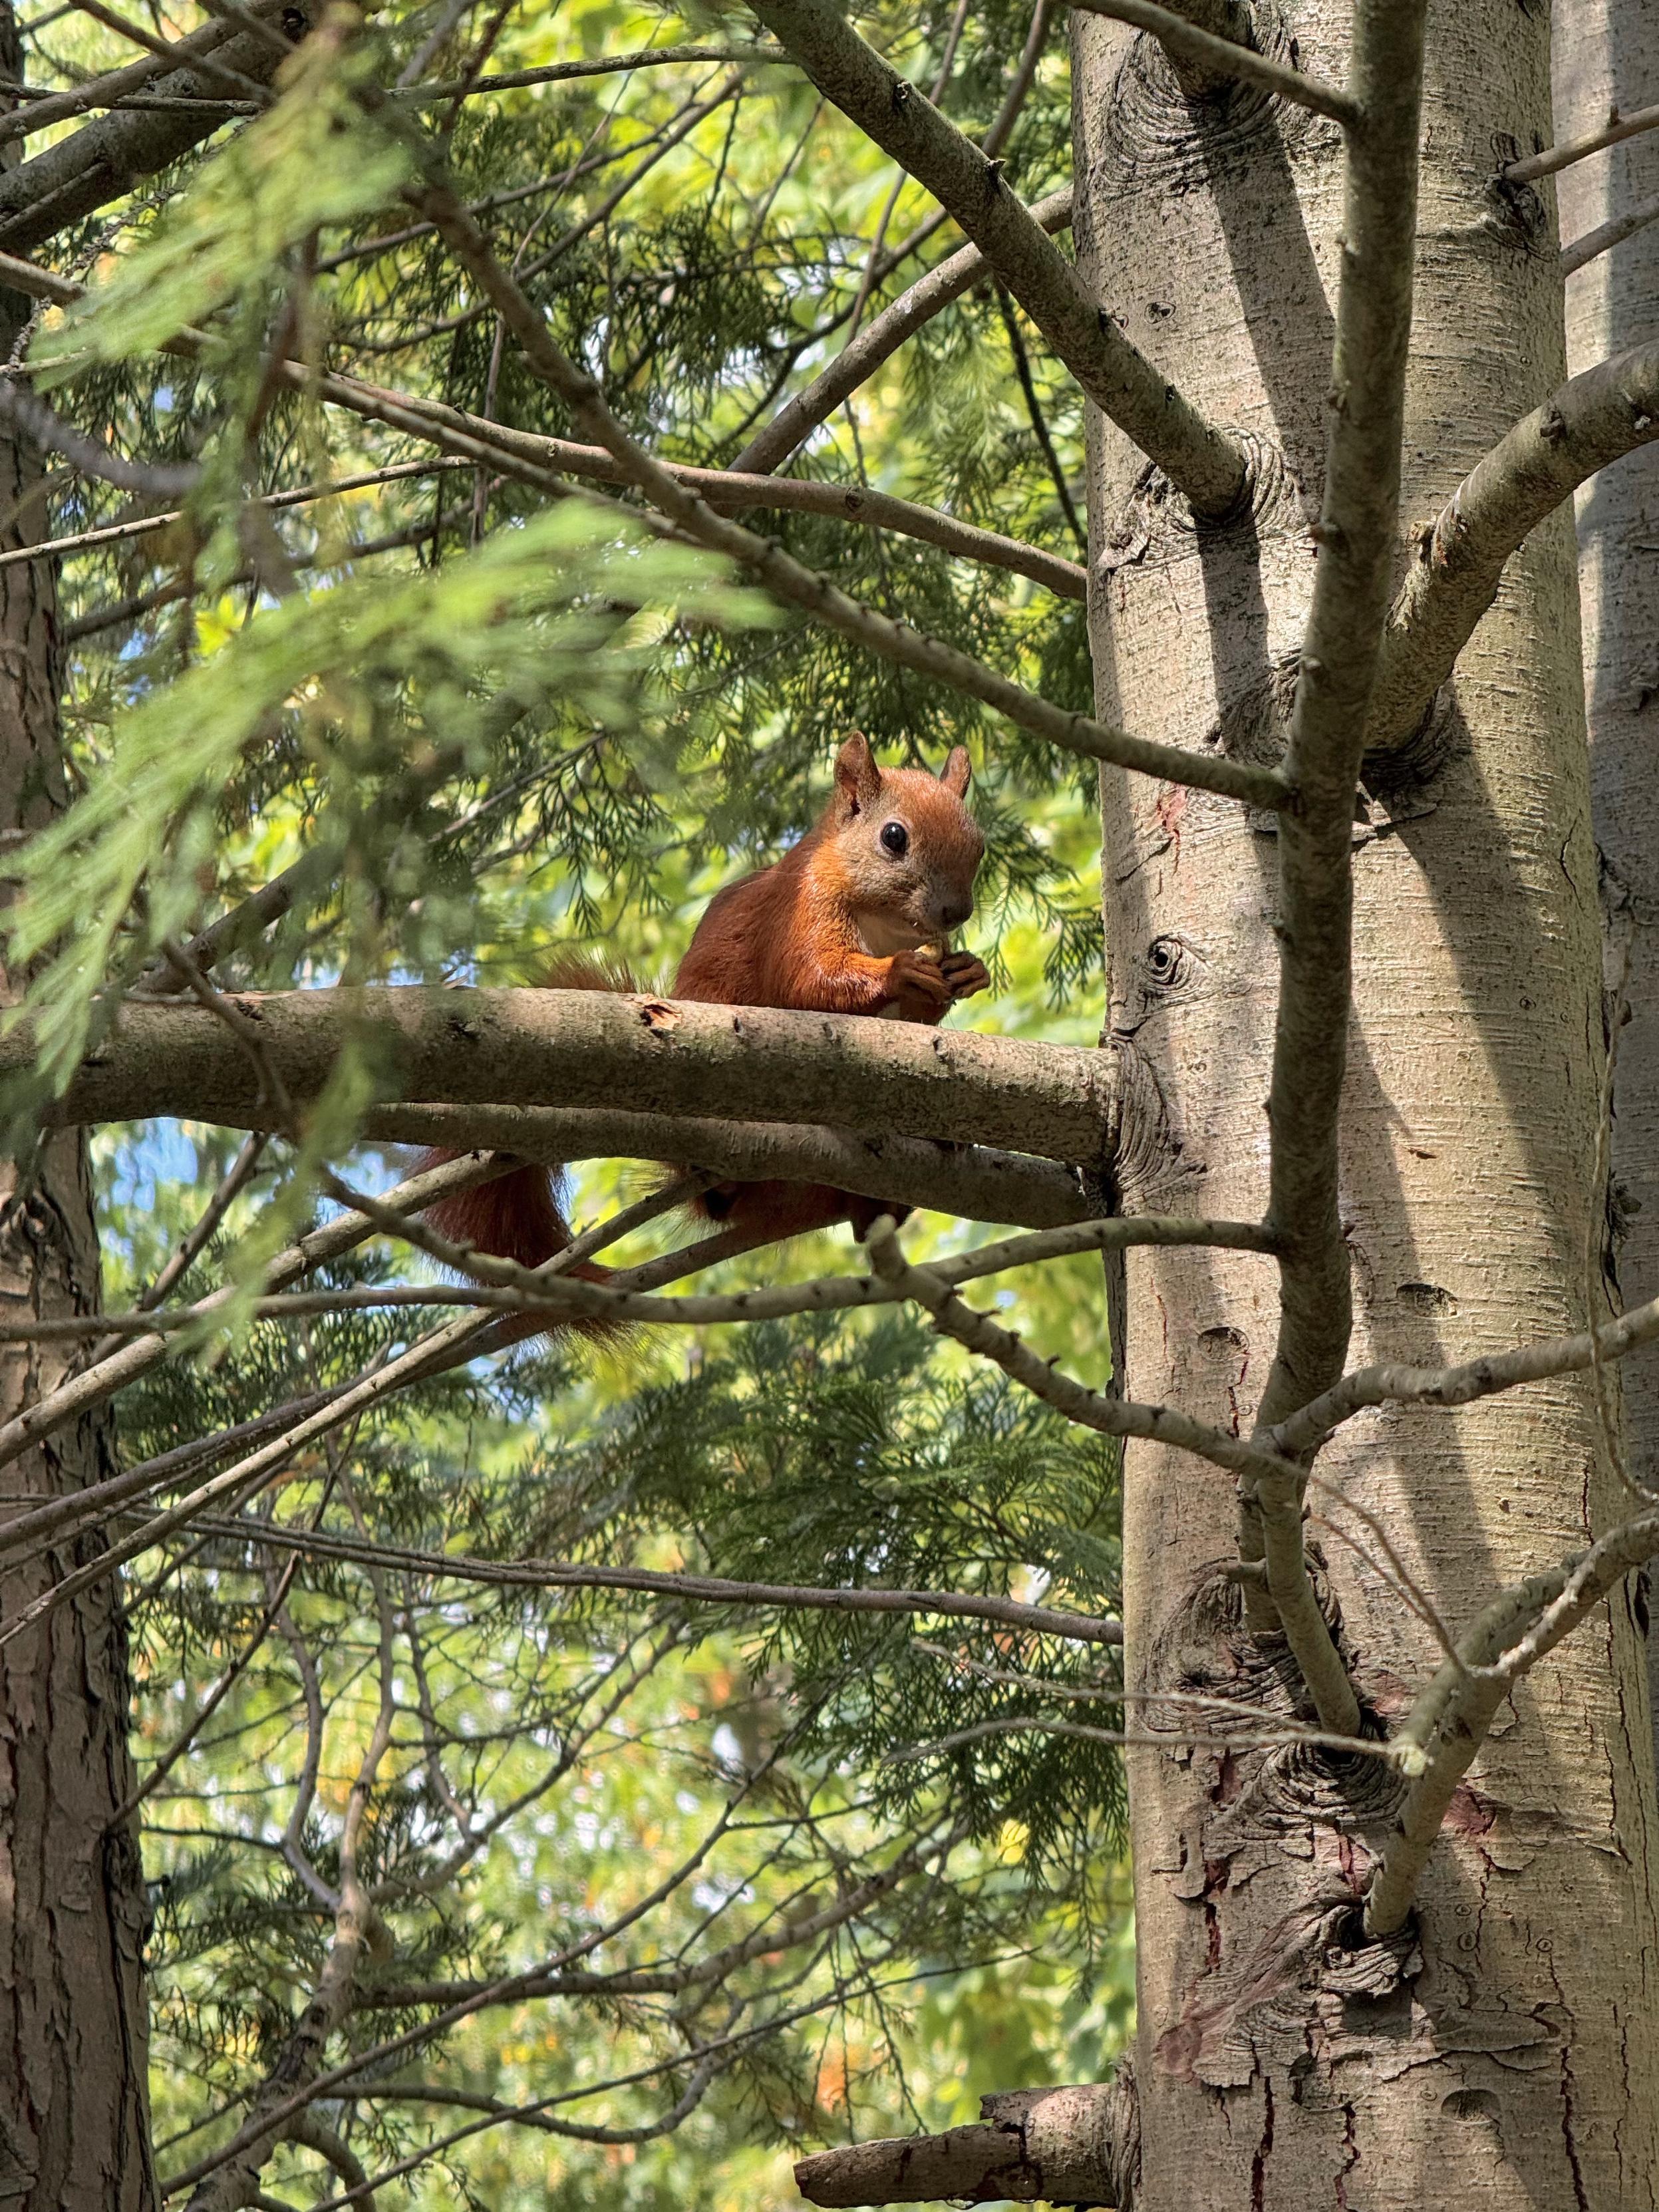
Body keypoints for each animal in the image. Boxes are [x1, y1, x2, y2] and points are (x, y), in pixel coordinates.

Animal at [421, 731, 988, 1294]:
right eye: (894, 837)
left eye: (979, 842)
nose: (955, 912)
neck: (886, 923)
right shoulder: (798, 913)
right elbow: (812, 981)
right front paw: (900, 971)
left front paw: (966, 971)